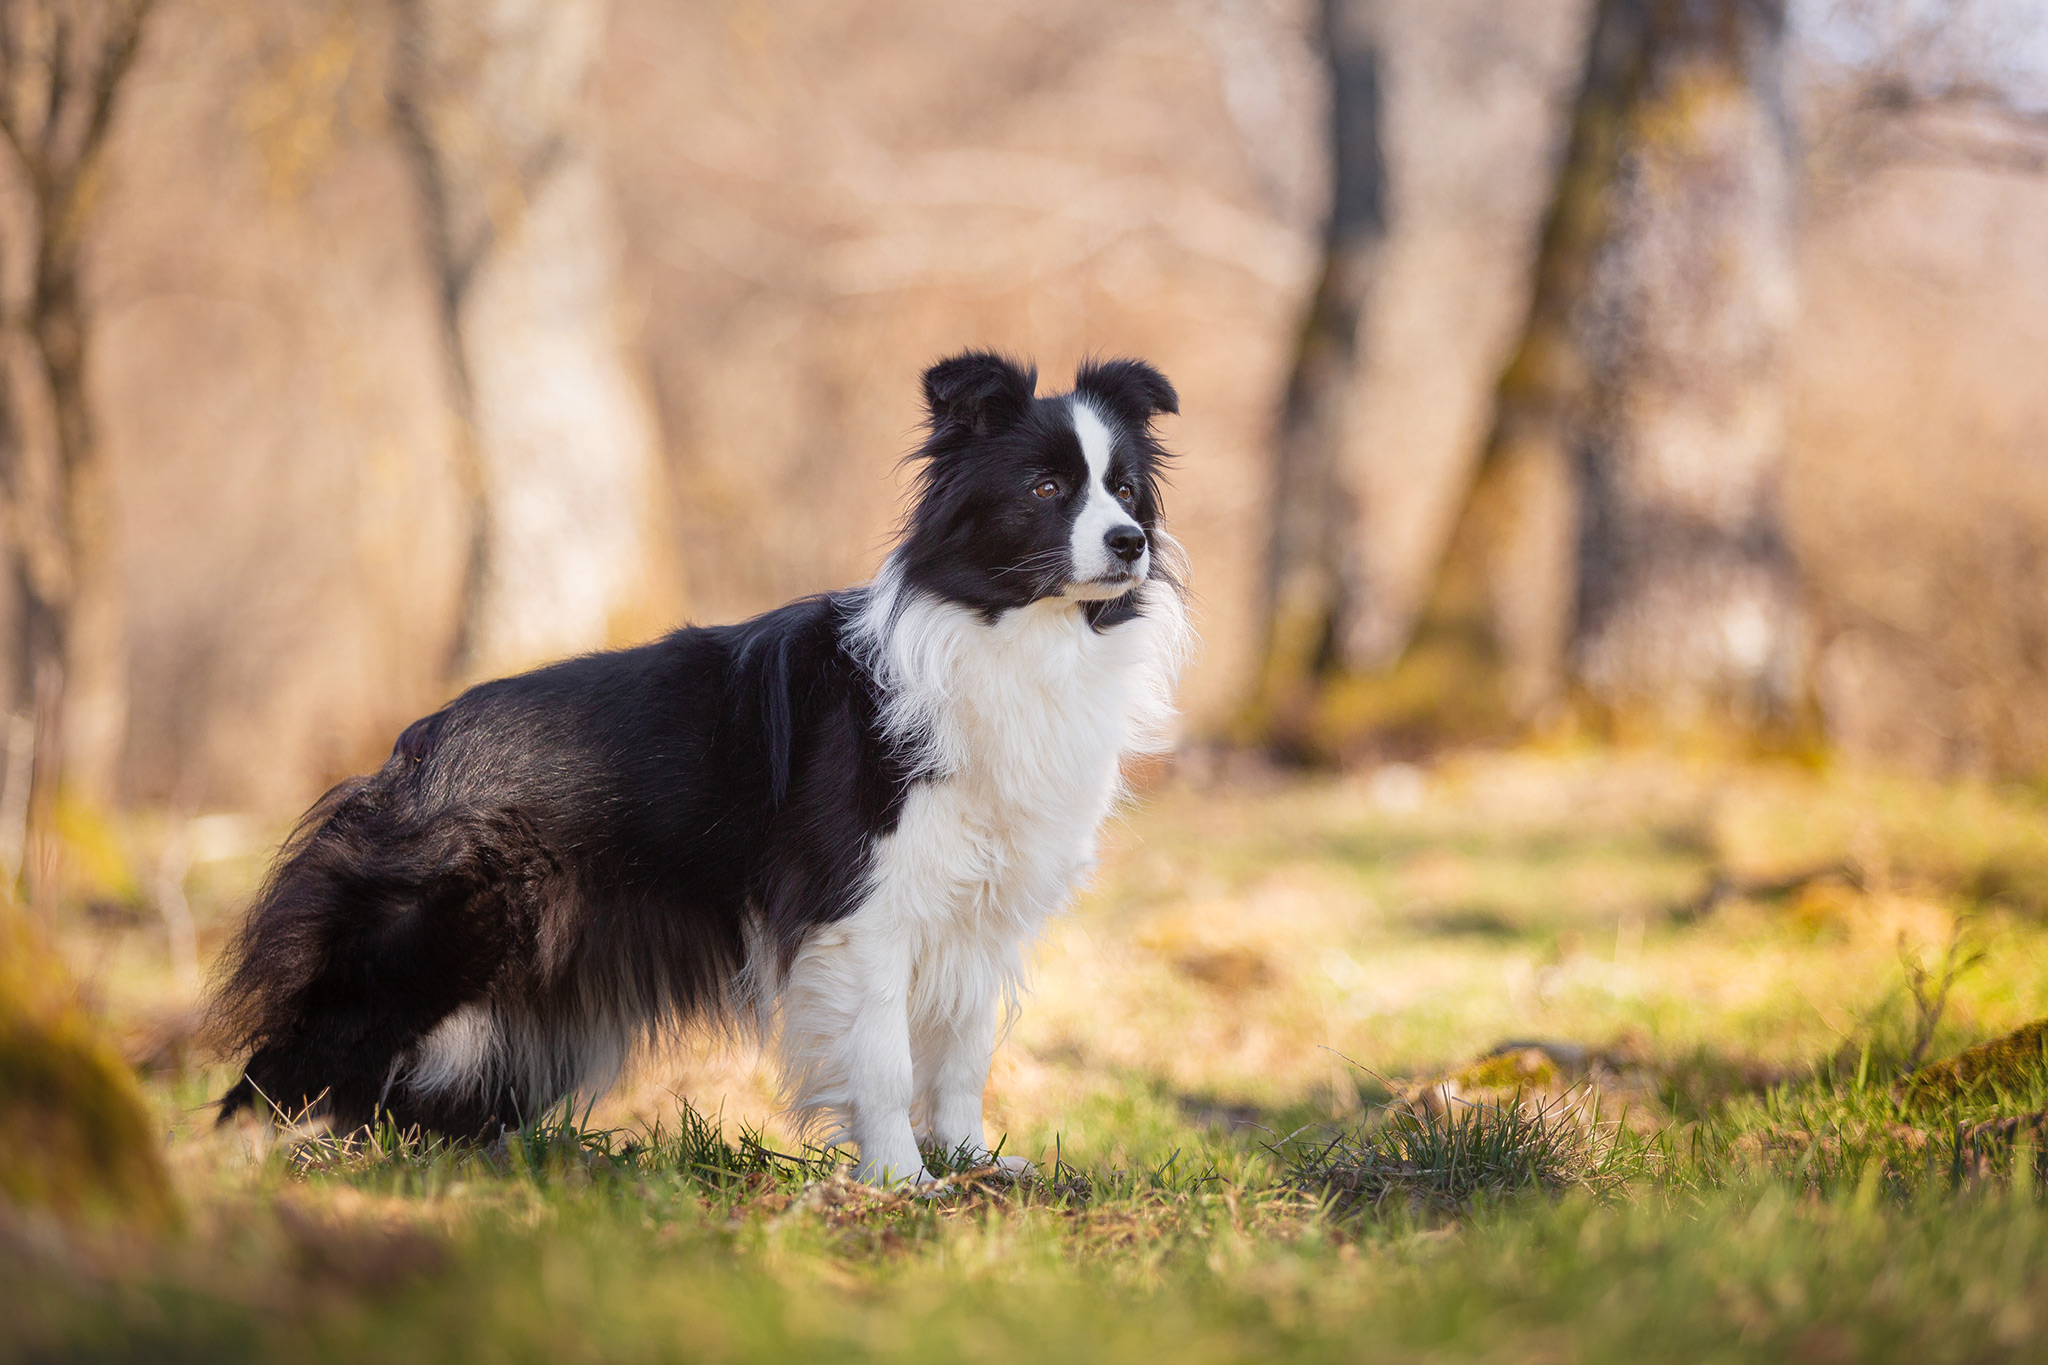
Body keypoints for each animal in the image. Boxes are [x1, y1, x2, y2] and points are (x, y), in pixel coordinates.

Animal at [209, 349, 1196, 1186]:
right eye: (1045, 487)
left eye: (1125, 489)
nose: (1129, 543)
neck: (1010, 634)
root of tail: (410, 752)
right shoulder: (860, 910)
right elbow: (881, 1057)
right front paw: (901, 1182)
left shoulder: (981, 912)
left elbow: (960, 1054)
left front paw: (974, 1164)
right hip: (430, 938)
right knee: (300, 1055)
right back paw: (248, 1161)